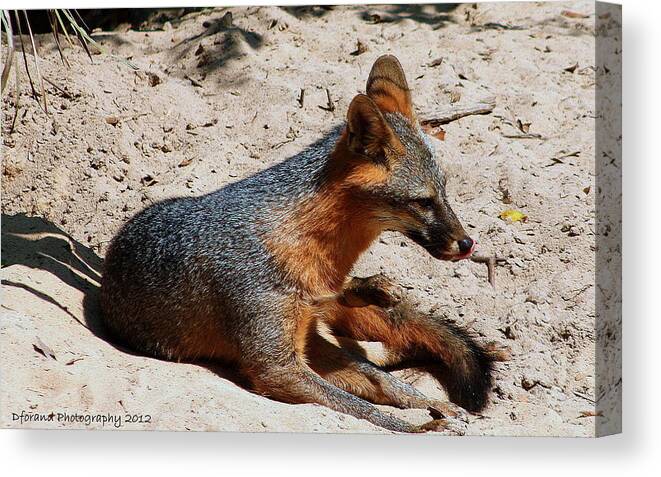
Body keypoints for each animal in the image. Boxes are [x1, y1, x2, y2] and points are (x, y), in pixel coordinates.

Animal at [102, 54, 496, 432]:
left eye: (444, 192)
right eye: (422, 201)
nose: (467, 243)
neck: (306, 248)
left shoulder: (306, 344)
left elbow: (385, 384)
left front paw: (436, 407)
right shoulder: (277, 366)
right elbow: (365, 409)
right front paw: (421, 427)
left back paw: (371, 289)